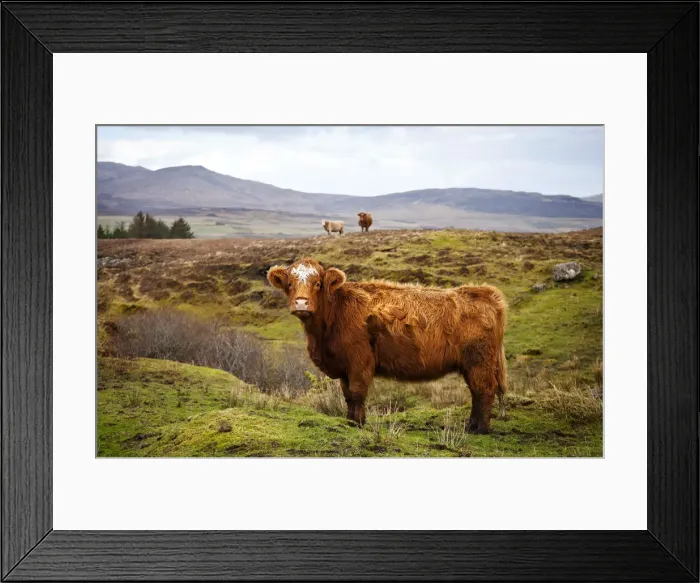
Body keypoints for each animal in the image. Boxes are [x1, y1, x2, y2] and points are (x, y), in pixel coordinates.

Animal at [267, 258, 508, 434]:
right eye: (289, 284)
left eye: (317, 284)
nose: (301, 303)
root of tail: (484, 293)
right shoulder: (344, 366)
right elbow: (347, 395)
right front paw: (350, 421)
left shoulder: (360, 360)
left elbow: (357, 392)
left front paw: (359, 423)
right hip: (472, 365)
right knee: (477, 393)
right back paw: (472, 425)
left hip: (480, 361)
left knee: (485, 390)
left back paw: (481, 429)